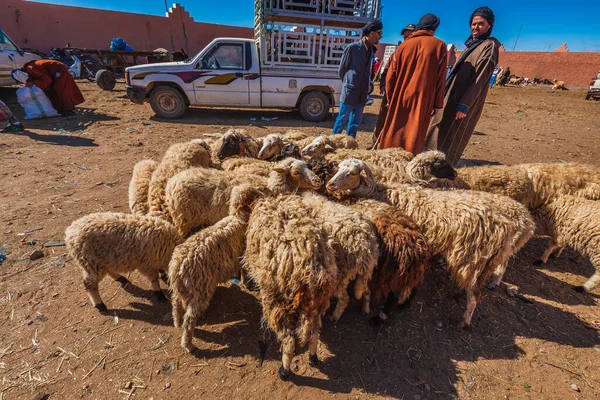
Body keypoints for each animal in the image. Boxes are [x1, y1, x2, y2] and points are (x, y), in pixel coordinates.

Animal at [164, 158, 324, 236]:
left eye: (308, 167)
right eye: (296, 172)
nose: (318, 181)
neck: (270, 187)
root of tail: (171, 183)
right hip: (183, 218)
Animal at [169, 183, 262, 352]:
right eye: (252, 194)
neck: (238, 218)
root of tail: (178, 268)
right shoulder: (243, 254)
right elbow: (245, 270)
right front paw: (247, 283)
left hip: (183, 289)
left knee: (176, 304)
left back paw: (177, 323)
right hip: (200, 289)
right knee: (189, 318)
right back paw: (188, 344)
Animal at [243, 193, 338, 378]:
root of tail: (311, 264)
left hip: (280, 299)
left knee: (289, 341)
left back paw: (284, 371)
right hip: (318, 301)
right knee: (314, 332)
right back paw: (313, 358)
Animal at [326, 158, 536, 326]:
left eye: (352, 173)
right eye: (339, 167)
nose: (330, 184)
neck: (380, 191)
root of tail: (504, 226)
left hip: (469, 259)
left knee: (475, 295)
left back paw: (464, 322)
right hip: (483, 262)